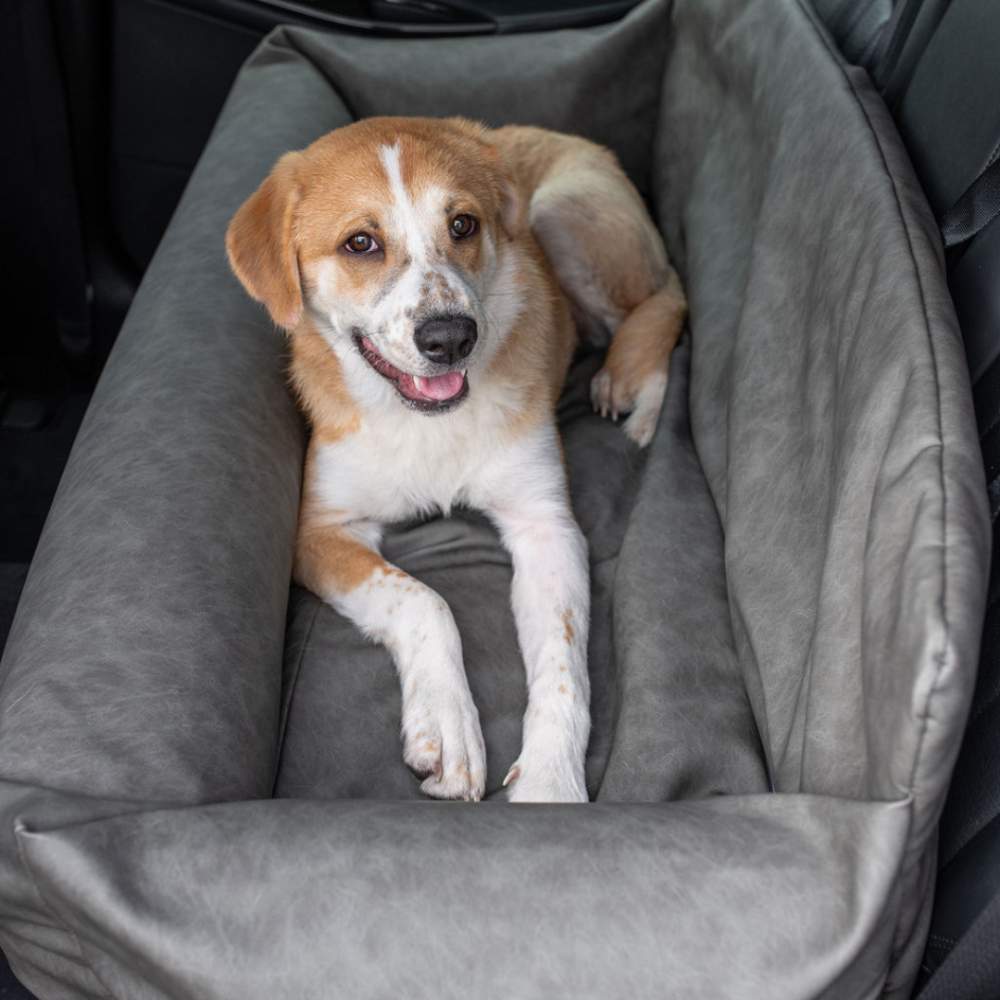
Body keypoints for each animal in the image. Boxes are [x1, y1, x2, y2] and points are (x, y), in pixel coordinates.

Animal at [225, 119, 688, 804]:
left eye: (464, 225)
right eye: (360, 243)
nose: (450, 339)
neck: (428, 425)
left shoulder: (546, 526)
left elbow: (565, 666)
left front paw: (551, 781)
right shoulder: (320, 531)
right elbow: (426, 601)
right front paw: (447, 727)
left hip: (563, 215)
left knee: (662, 301)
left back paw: (634, 394)